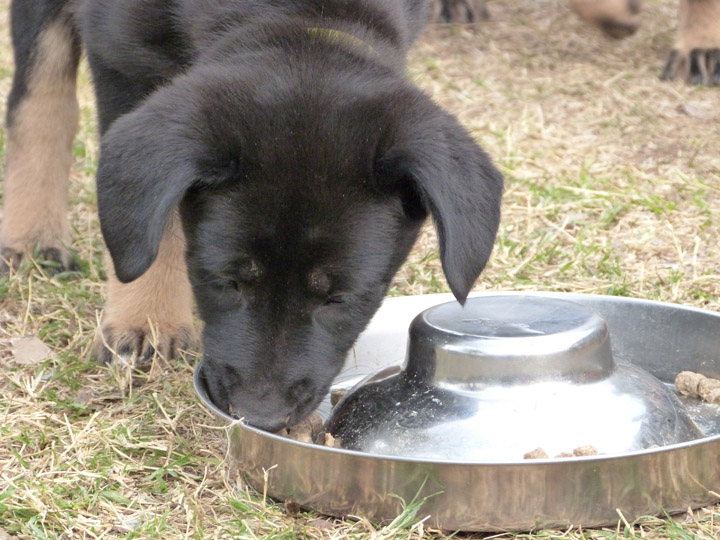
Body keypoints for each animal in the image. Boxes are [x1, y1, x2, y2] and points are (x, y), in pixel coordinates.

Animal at [2, 0, 504, 430]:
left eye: (340, 299)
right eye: (226, 282)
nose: (260, 417)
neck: (301, 19)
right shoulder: (119, 52)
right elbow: (152, 222)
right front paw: (146, 319)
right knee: (40, 93)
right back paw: (33, 235)